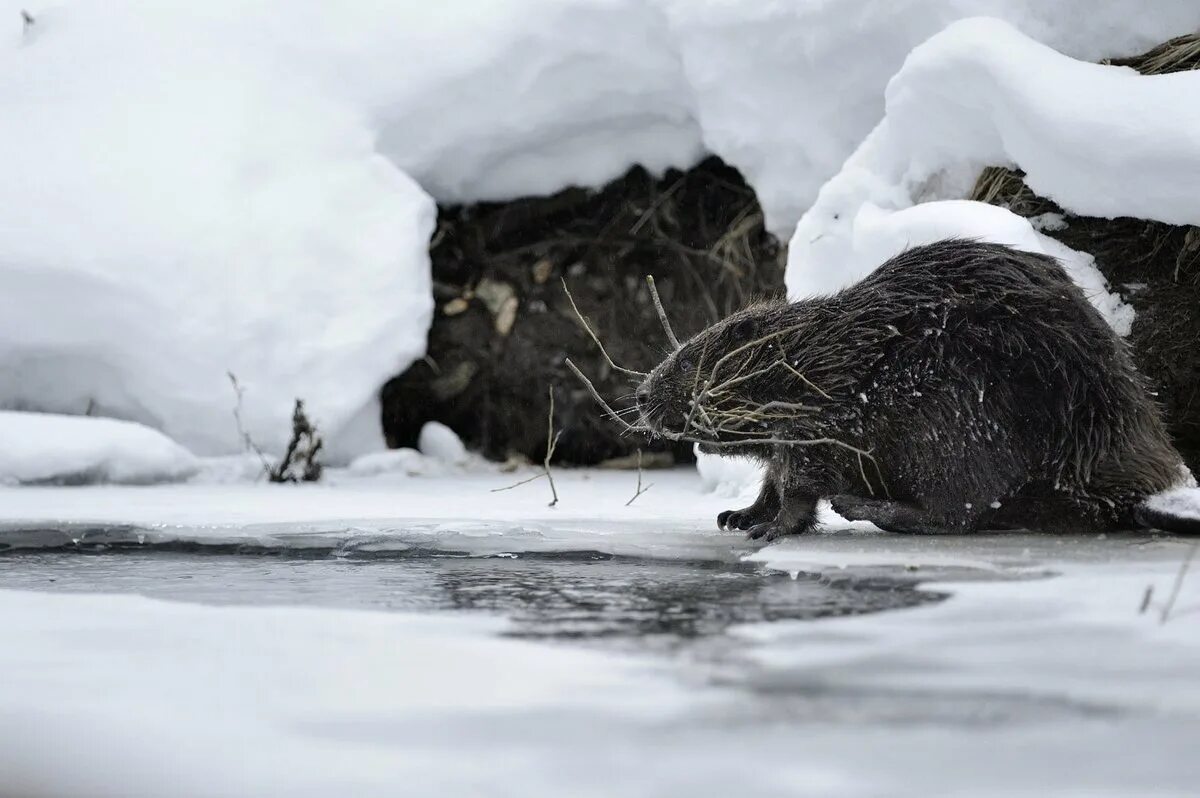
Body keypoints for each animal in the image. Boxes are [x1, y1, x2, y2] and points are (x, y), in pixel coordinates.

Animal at [633, 236, 1195, 535]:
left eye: (687, 360)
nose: (640, 396)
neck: (815, 357)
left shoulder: (821, 419)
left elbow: (800, 487)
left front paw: (768, 528)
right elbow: (773, 477)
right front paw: (736, 515)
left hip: (952, 422)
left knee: (961, 511)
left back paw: (860, 506)